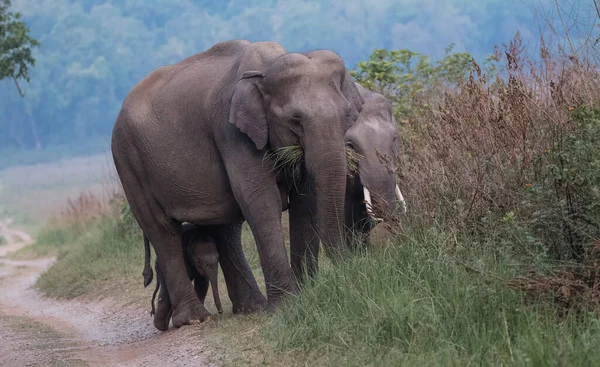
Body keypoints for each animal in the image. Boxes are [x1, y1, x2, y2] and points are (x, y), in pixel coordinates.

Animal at [111, 40, 366, 330]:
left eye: (347, 115)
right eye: (295, 120)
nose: (350, 274)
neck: (268, 66)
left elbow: (305, 201)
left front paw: (308, 295)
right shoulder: (231, 131)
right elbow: (260, 199)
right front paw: (288, 306)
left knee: (225, 228)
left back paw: (250, 308)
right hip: (129, 161)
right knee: (163, 231)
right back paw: (193, 319)